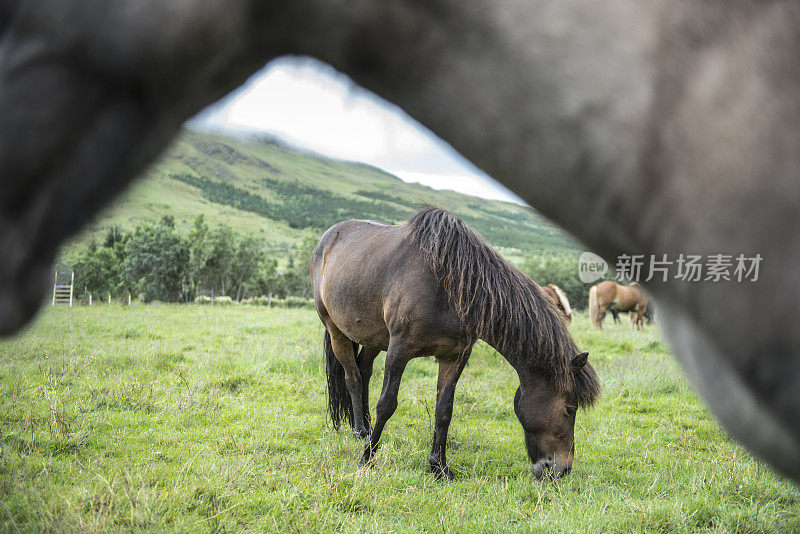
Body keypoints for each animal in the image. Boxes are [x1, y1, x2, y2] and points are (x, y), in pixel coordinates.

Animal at [312, 208, 600, 482]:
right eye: (570, 408)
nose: (561, 470)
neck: (449, 286)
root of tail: (328, 237)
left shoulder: (455, 357)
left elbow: (444, 411)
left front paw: (439, 467)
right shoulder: (399, 350)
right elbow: (387, 404)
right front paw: (367, 459)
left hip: (373, 338)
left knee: (364, 370)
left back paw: (367, 428)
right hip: (336, 330)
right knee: (353, 378)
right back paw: (362, 433)